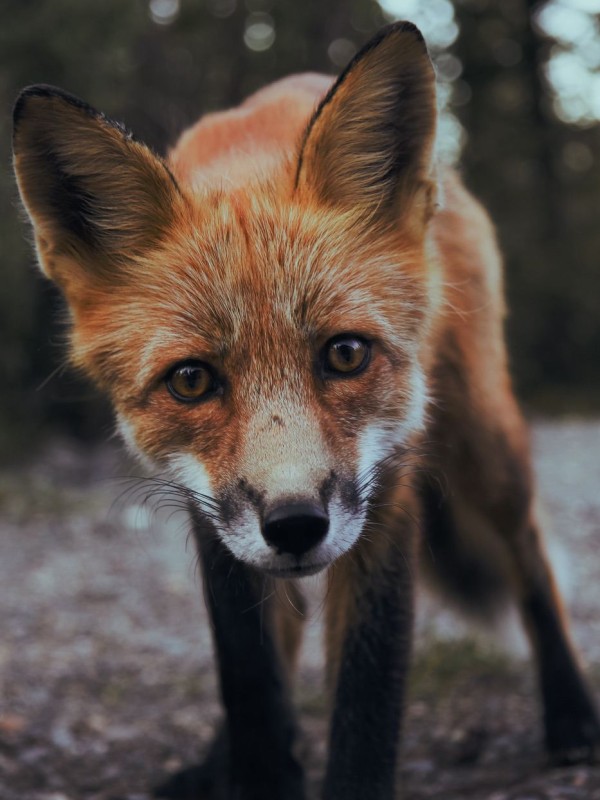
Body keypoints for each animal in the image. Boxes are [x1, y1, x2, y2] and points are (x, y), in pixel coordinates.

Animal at [11, 21, 600, 800]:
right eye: (191, 380)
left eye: (345, 355)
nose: (294, 525)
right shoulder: (211, 515)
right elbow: (251, 678)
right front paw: (256, 767)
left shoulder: (387, 494)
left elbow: (366, 696)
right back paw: (218, 761)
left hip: (485, 440)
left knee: (528, 553)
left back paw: (571, 714)